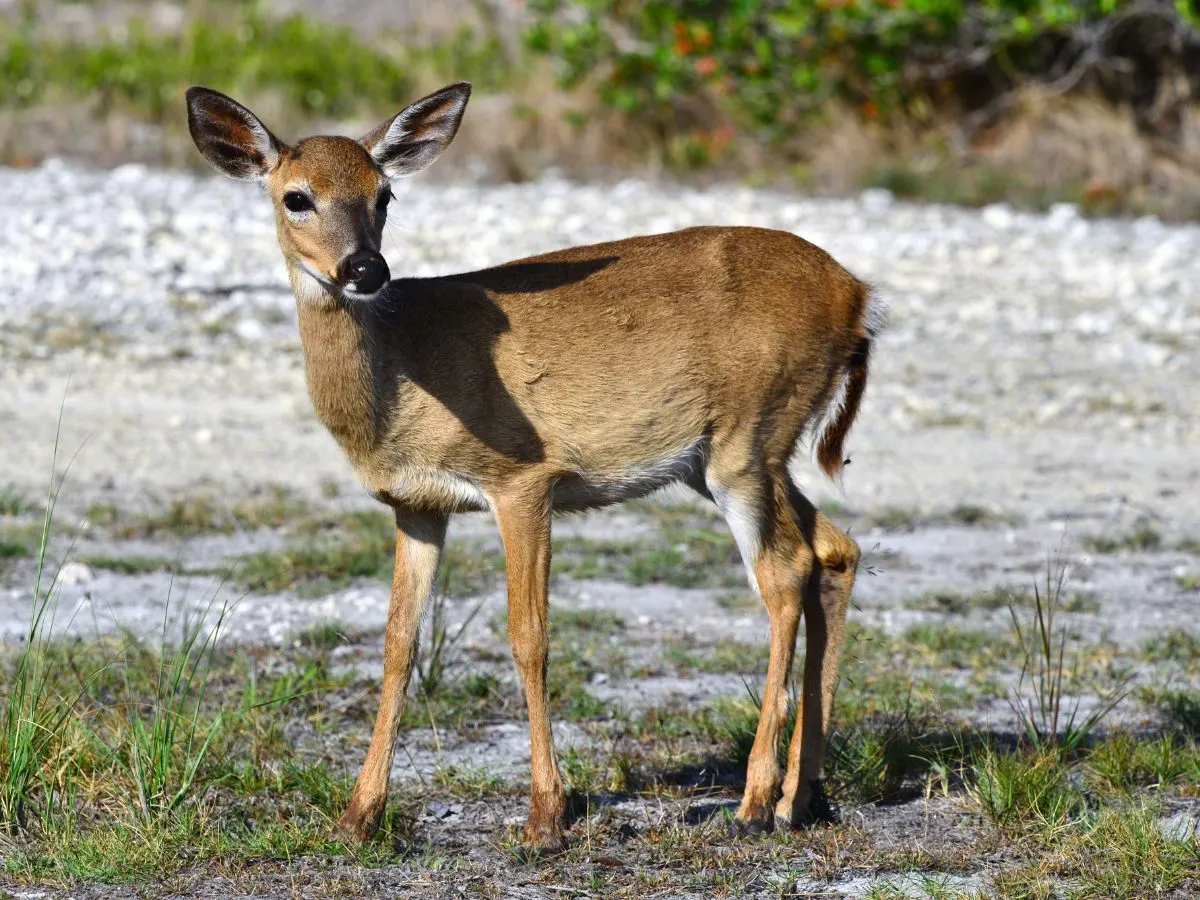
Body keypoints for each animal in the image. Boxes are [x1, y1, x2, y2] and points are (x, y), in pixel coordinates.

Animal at [187, 79, 883, 854]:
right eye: (296, 196)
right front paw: (360, 814)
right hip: (732, 458)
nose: (365, 269)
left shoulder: (522, 480)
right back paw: (805, 795)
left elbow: (530, 637)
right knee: (835, 550)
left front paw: (547, 815)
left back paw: (757, 801)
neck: (400, 372)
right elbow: (399, 642)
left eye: (384, 194)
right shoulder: (417, 505)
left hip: (748, 439)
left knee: (784, 572)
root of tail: (859, 299)